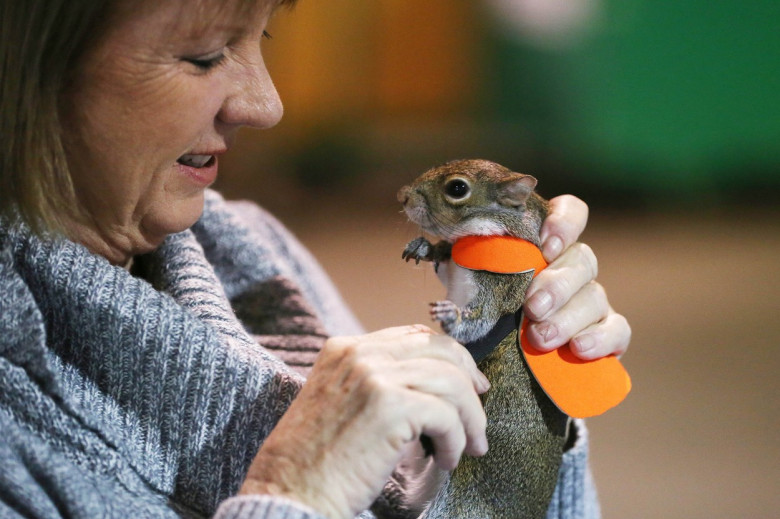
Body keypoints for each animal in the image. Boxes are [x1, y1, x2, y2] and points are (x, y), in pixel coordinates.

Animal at [396, 159, 568, 519]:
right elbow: (445, 261)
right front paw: (424, 247)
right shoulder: (456, 270)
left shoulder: (501, 286)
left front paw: (452, 316)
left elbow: (480, 321)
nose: (403, 195)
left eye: (457, 188)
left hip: (459, 507)